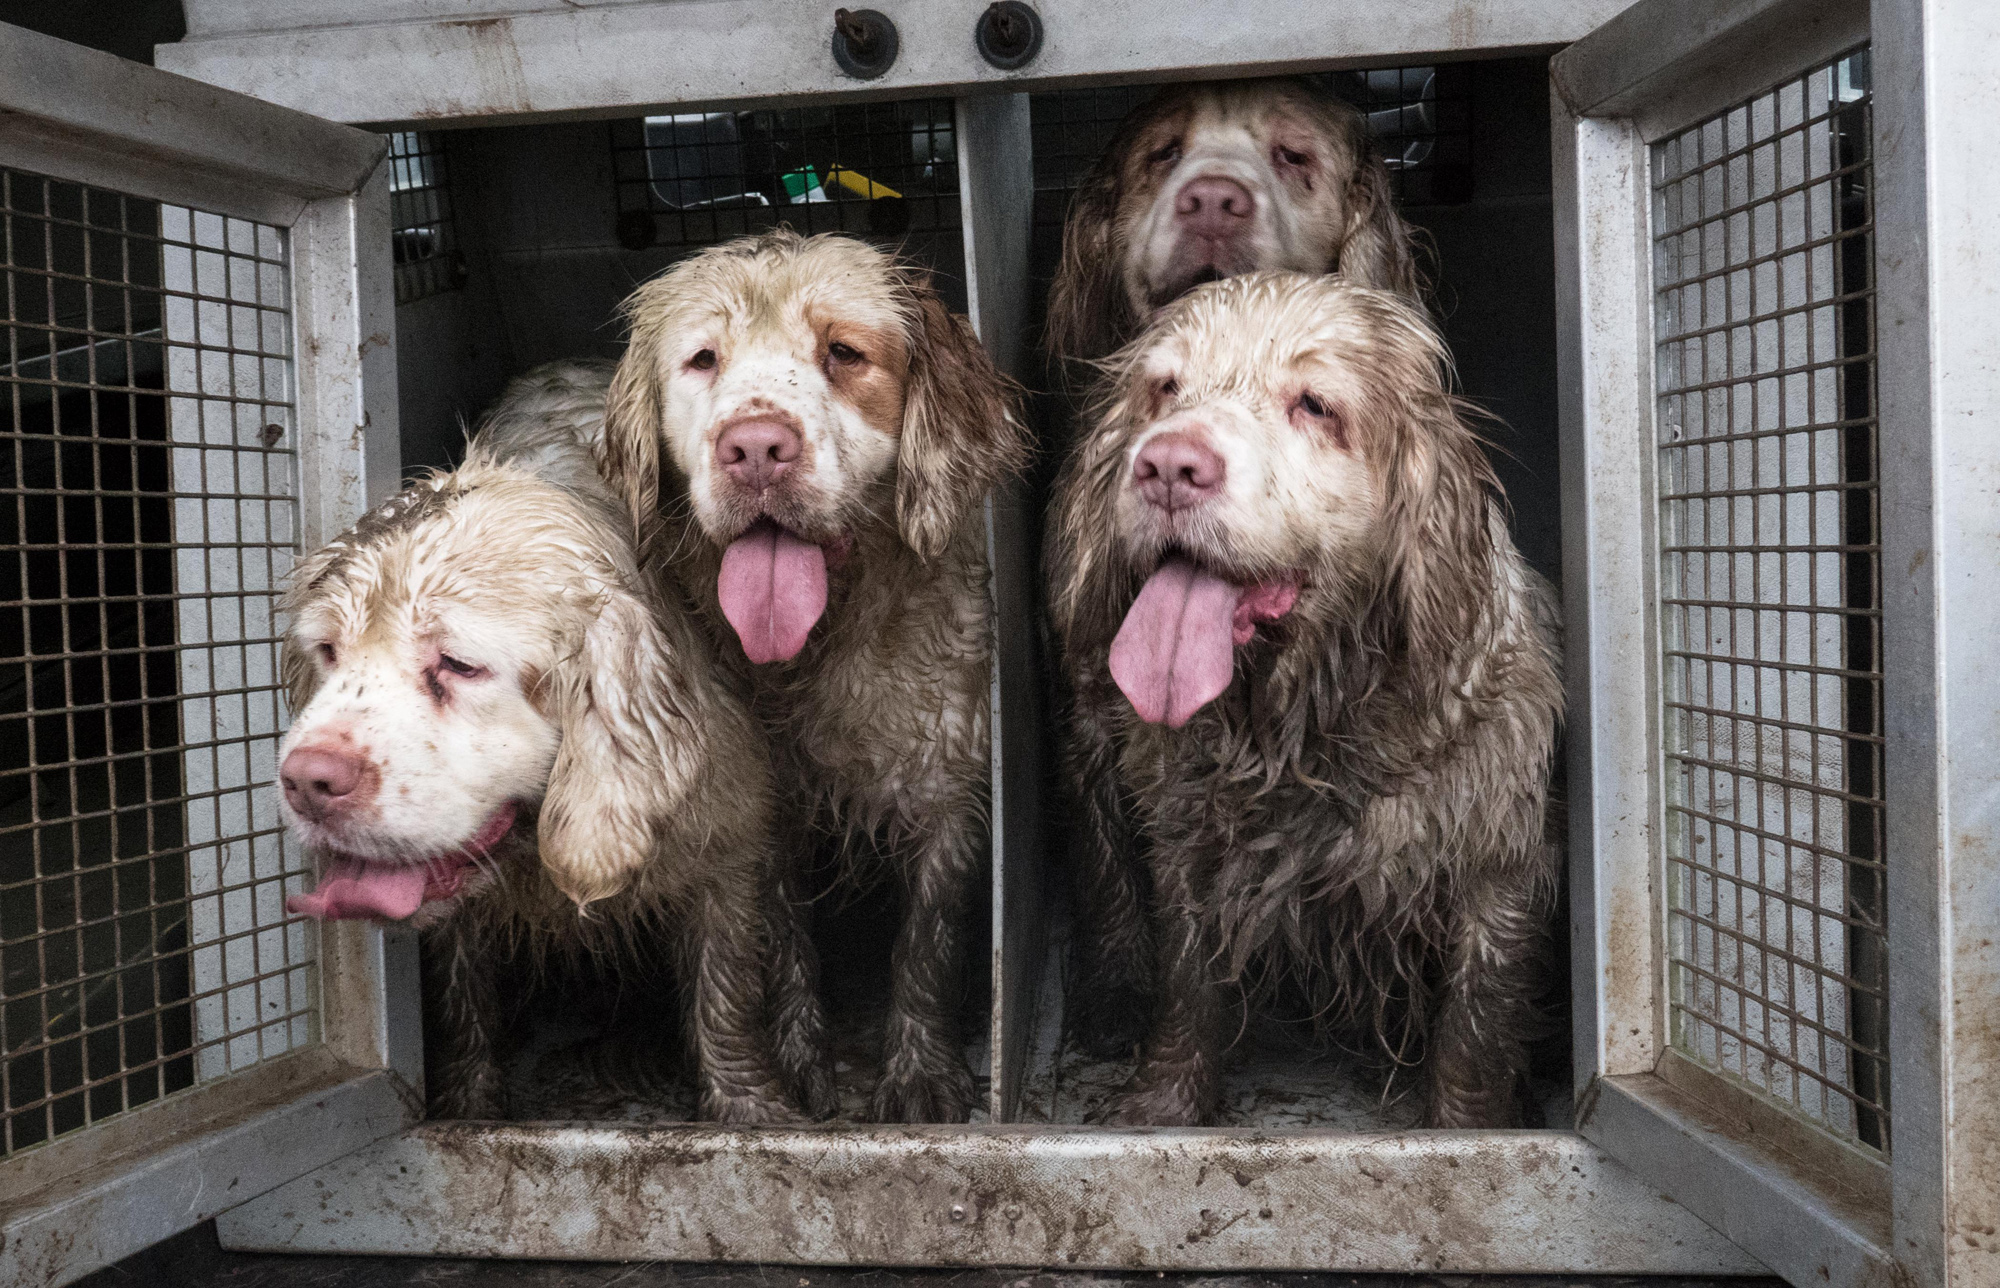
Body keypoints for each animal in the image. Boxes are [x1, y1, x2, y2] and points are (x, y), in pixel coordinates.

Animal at [1048, 274, 1560, 1128]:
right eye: (1165, 389)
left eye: (1315, 405)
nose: (1168, 466)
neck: (1295, 730)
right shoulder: (1185, 843)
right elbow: (1187, 983)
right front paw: (1162, 1105)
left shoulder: (1497, 860)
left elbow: (1474, 1023)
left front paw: (1472, 1127)